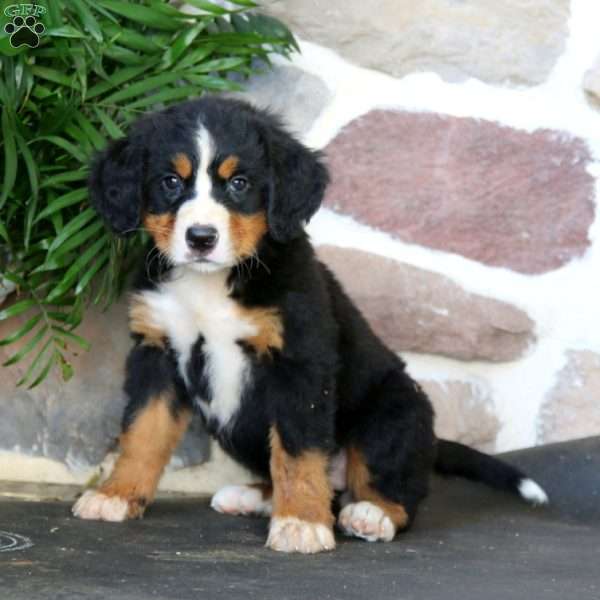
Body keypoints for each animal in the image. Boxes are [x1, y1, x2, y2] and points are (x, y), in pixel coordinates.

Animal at [71, 97, 548, 552]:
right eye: (171, 182)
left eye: (239, 184)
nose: (201, 238)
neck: (211, 282)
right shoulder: (157, 352)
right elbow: (142, 433)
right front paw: (116, 495)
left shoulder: (300, 362)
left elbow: (298, 453)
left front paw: (301, 523)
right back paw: (254, 496)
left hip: (395, 409)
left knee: (398, 493)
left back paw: (370, 513)